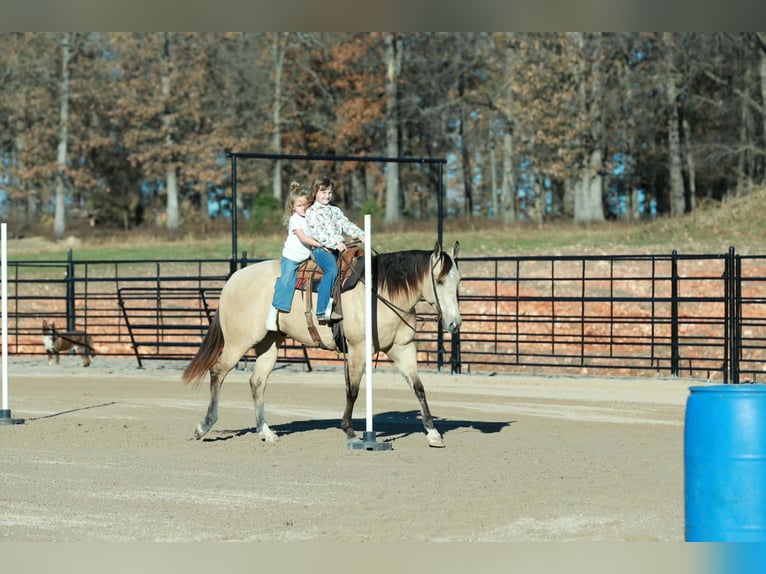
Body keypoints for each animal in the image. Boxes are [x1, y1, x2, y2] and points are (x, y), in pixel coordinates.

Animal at [182, 241, 461, 447]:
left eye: (458, 281)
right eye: (439, 280)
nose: (455, 323)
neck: (379, 294)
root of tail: (233, 280)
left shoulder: (402, 348)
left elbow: (419, 388)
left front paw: (433, 433)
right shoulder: (358, 348)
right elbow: (353, 390)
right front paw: (349, 430)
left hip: (269, 343)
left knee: (257, 382)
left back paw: (266, 431)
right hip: (239, 341)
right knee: (218, 372)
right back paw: (203, 426)